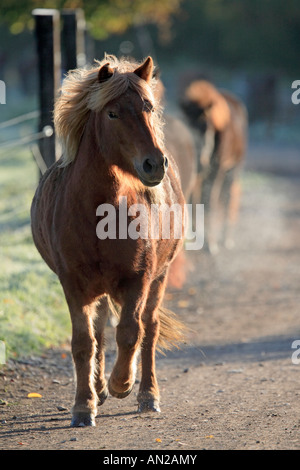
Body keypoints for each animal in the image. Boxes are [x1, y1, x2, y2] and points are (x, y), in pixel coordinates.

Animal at [30, 55, 185, 426]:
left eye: (149, 107)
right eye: (112, 114)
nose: (155, 164)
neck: (101, 213)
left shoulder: (138, 278)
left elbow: (130, 332)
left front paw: (122, 383)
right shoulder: (73, 283)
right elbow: (83, 342)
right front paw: (84, 405)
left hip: (159, 277)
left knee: (148, 328)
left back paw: (146, 395)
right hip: (96, 288)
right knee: (99, 329)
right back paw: (97, 389)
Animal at [179, 81, 247, 255]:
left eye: (205, 126)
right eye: (186, 125)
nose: (199, 162)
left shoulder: (216, 172)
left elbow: (209, 203)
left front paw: (211, 244)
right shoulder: (198, 176)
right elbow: (195, 201)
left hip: (232, 170)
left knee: (227, 198)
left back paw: (226, 239)